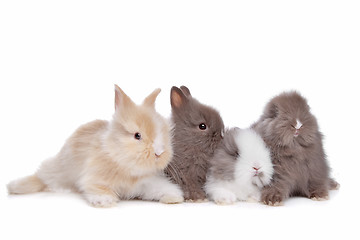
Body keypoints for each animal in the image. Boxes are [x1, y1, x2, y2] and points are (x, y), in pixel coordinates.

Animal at [7, 85, 184, 207]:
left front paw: (174, 198)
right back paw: (15, 187)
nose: (159, 152)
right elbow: (97, 188)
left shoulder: (148, 182)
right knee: (41, 177)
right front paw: (105, 201)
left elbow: (161, 188)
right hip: (57, 169)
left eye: (165, 132)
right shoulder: (94, 177)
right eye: (137, 135)